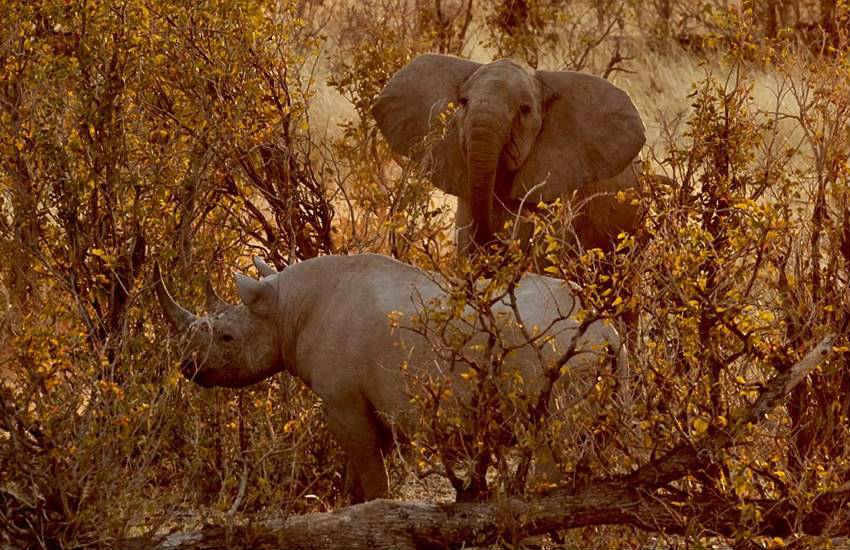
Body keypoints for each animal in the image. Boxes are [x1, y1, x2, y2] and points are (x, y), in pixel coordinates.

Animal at [155, 253, 626, 502]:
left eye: (227, 338)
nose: (188, 368)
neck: (286, 307)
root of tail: (606, 332)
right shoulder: (362, 403)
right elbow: (357, 476)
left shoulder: (343, 401)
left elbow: (370, 474)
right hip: (595, 358)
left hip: (559, 352)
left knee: (552, 439)